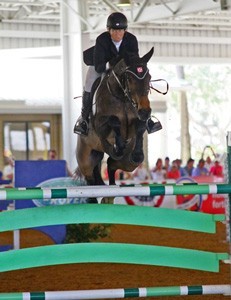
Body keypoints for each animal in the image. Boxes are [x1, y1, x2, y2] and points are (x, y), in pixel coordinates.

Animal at [76, 47, 154, 202]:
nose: (145, 111)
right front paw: (118, 146)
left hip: (129, 164)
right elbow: (114, 121)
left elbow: (140, 126)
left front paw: (137, 153)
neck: (123, 97)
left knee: (112, 164)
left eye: (149, 77)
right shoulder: (100, 125)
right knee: (90, 180)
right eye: (129, 78)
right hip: (86, 160)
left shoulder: (136, 119)